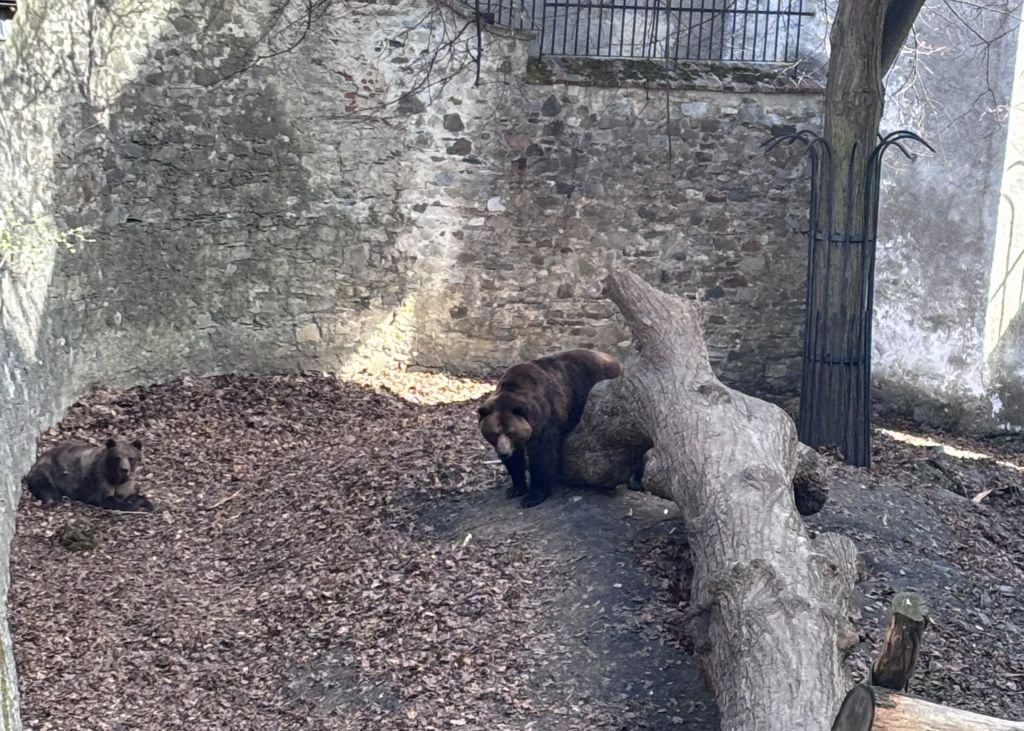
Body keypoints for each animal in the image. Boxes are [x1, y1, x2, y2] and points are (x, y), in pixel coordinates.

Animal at [22, 437, 154, 512]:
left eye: (131, 458)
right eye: (117, 457)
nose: (124, 469)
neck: (115, 478)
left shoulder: (126, 484)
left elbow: (131, 493)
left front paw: (149, 504)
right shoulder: (99, 477)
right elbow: (106, 499)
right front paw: (137, 504)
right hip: (46, 469)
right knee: (47, 488)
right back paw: (51, 501)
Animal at [478, 348, 622, 508]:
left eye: (511, 433)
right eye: (495, 433)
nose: (503, 452)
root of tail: (616, 360)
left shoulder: (545, 416)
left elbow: (542, 455)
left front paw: (533, 496)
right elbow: (515, 461)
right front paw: (516, 489)